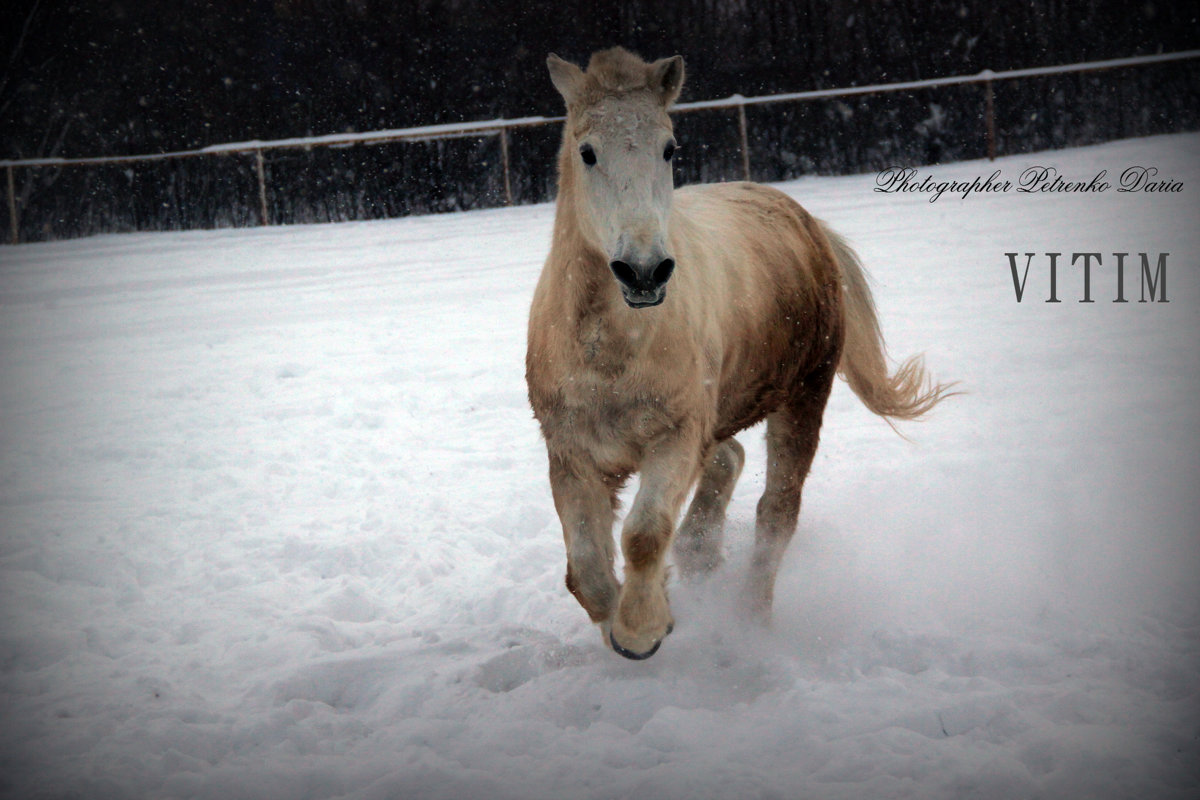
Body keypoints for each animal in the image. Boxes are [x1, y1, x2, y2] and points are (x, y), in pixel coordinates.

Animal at [525, 51, 955, 662]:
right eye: (587, 152)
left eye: (669, 147)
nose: (644, 271)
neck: (608, 353)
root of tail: (804, 220)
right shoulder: (570, 453)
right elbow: (585, 567)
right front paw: (630, 622)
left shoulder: (676, 437)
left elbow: (644, 534)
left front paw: (643, 630)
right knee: (726, 468)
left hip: (804, 397)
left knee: (776, 514)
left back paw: (752, 621)